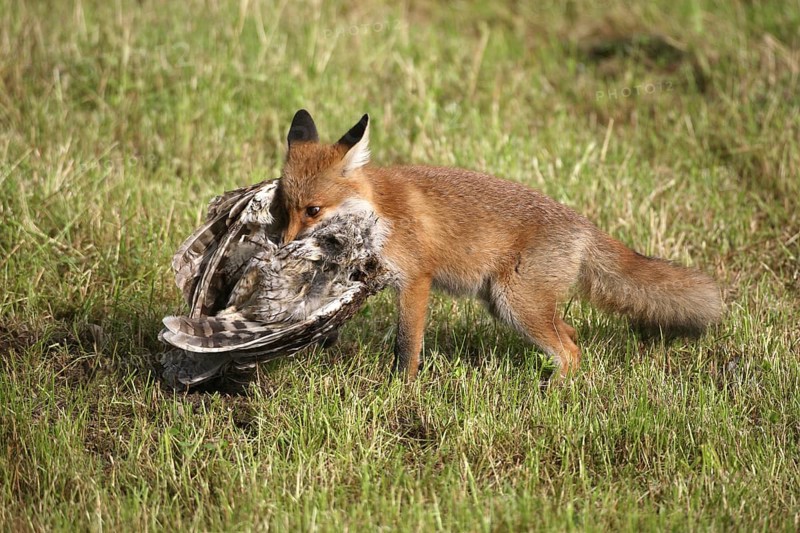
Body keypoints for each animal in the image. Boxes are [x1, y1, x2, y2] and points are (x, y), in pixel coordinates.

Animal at [277, 109, 723, 379]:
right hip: (506, 304)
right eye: (284, 209)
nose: (282, 246)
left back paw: (550, 394)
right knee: (573, 334)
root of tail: (584, 225)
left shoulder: (416, 280)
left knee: (570, 352)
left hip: (517, 304)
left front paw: (401, 388)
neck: (378, 212)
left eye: (313, 210)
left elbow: (407, 345)